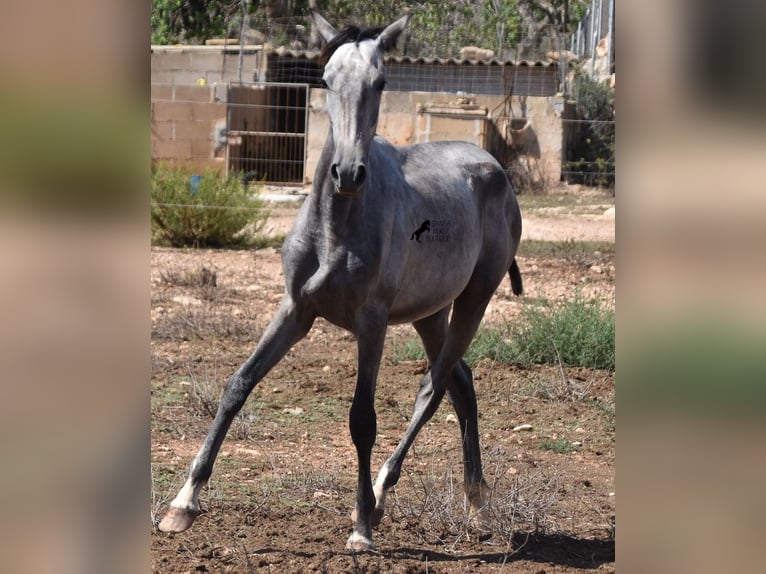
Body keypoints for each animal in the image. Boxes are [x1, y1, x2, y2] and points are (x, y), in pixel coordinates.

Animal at [160, 7, 524, 548]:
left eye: (381, 81)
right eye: (327, 80)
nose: (347, 173)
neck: (336, 227)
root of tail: (493, 167)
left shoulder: (371, 323)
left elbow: (362, 419)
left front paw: (360, 527)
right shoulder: (295, 309)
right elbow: (237, 385)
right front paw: (183, 503)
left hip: (474, 300)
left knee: (432, 389)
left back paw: (381, 496)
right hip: (431, 313)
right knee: (460, 384)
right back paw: (476, 502)